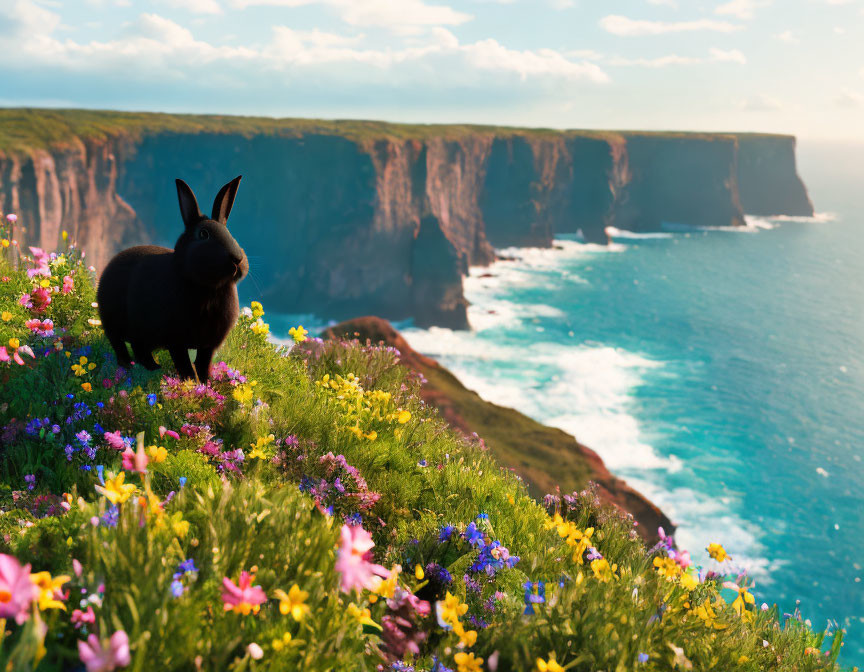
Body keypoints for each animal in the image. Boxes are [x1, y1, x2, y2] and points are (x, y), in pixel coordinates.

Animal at [100, 176, 251, 380]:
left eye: (229, 233)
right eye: (203, 234)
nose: (237, 259)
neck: (209, 288)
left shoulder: (208, 345)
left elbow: (203, 365)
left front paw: (206, 384)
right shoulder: (176, 341)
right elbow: (185, 366)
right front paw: (191, 384)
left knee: (139, 349)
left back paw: (153, 367)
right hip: (115, 323)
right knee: (121, 346)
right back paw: (135, 367)